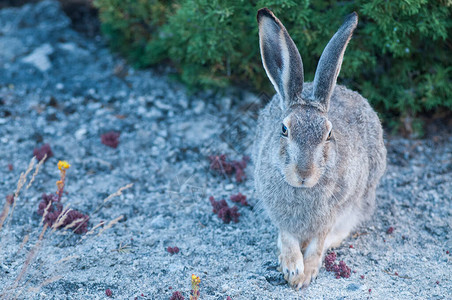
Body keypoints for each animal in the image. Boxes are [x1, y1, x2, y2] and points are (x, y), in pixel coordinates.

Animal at [252, 7, 386, 290]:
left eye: (329, 133)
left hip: (363, 199)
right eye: (284, 129)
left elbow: (319, 239)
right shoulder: (280, 215)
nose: (304, 173)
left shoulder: (335, 210)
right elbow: (287, 237)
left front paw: (307, 273)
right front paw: (292, 268)